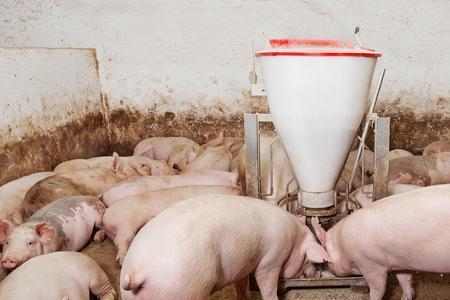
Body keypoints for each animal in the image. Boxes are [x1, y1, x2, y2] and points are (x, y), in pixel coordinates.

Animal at [120, 195, 326, 300]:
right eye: (308, 259)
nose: (317, 273)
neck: (293, 238)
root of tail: (135, 273)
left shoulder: (243, 265)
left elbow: (241, 285)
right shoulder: (271, 260)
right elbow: (267, 284)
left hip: (130, 296)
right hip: (183, 288)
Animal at [312, 184, 450, 298]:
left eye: (325, 258)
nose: (322, 274)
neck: (343, 244)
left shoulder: (372, 265)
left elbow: (378, 290)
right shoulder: (401, 261)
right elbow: (405, 281)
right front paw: (406, 296)